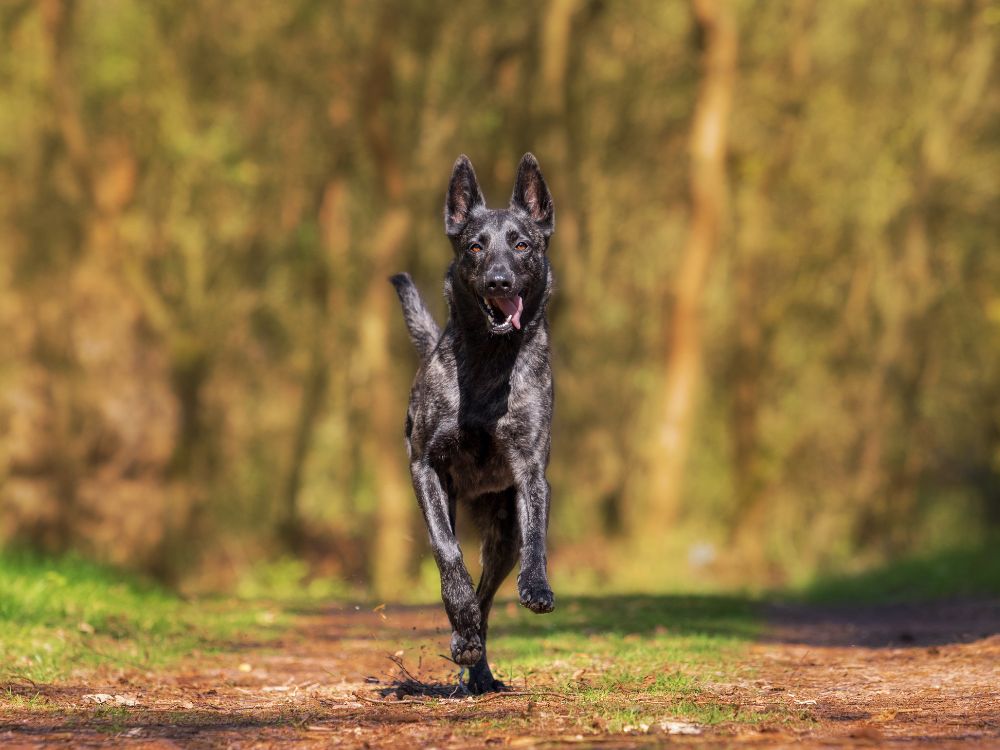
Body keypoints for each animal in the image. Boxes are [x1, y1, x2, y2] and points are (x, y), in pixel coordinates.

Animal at [390, 154, 560, 700]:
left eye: (522, 244)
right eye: (475, 246)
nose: (500, 281)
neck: (490, 363)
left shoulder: (530, 471)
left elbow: (537, 537)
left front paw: (537, 587)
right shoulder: (426, 469)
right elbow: (448, 555)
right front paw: (458, 619)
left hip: (502, 535)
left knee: (489, 596)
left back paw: (480, 668)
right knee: (471, 588)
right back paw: (466, 643)